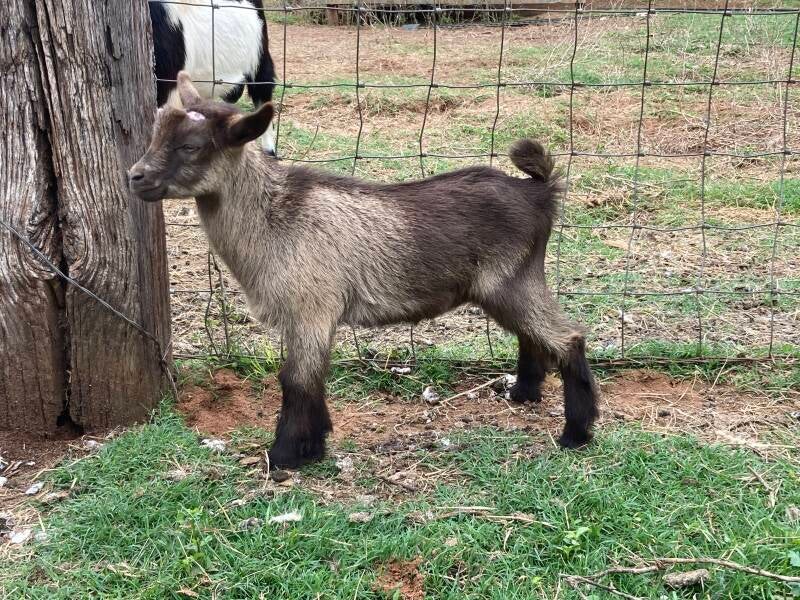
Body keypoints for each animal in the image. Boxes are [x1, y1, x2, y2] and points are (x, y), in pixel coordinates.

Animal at [129, 72, 599, 468]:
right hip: (508, 286)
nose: (135, 176)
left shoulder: (311, 309)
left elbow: (296, 380)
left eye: (191, 146)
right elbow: (311, 379)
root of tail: (538, 193)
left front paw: (285, 456)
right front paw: (315, 443)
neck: (275, 217)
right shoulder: (309, 318)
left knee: (568, 338)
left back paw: (576, 432)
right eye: (157, 133)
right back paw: (524, 394)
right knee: (532, 335)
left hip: (511, 281)